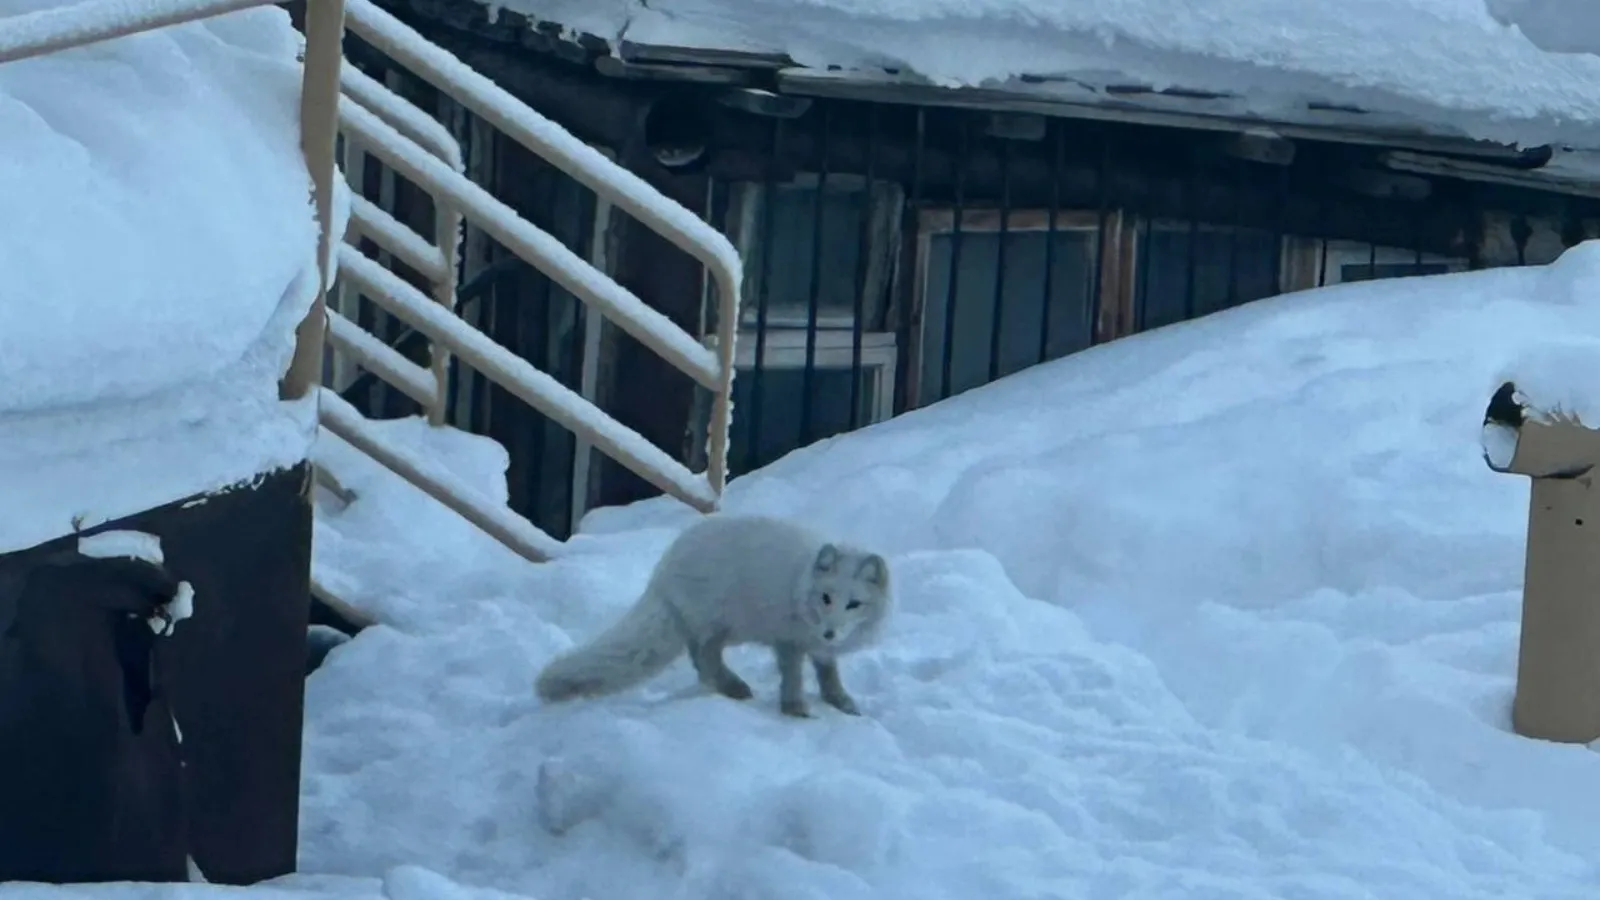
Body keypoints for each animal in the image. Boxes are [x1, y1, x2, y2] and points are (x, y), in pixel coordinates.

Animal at [534, 512, 889, 714]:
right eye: (826, 598)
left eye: (854, 604)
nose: (830, 632)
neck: (800, 582)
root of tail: (662, 570)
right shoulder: (787, 640)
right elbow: (793, 676)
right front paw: (795, 708)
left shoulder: (819, 648)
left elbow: (828, 673)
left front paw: (839, 701)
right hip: (724, 624)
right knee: (704, 657)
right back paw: (734, 688)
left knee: (699, 659)